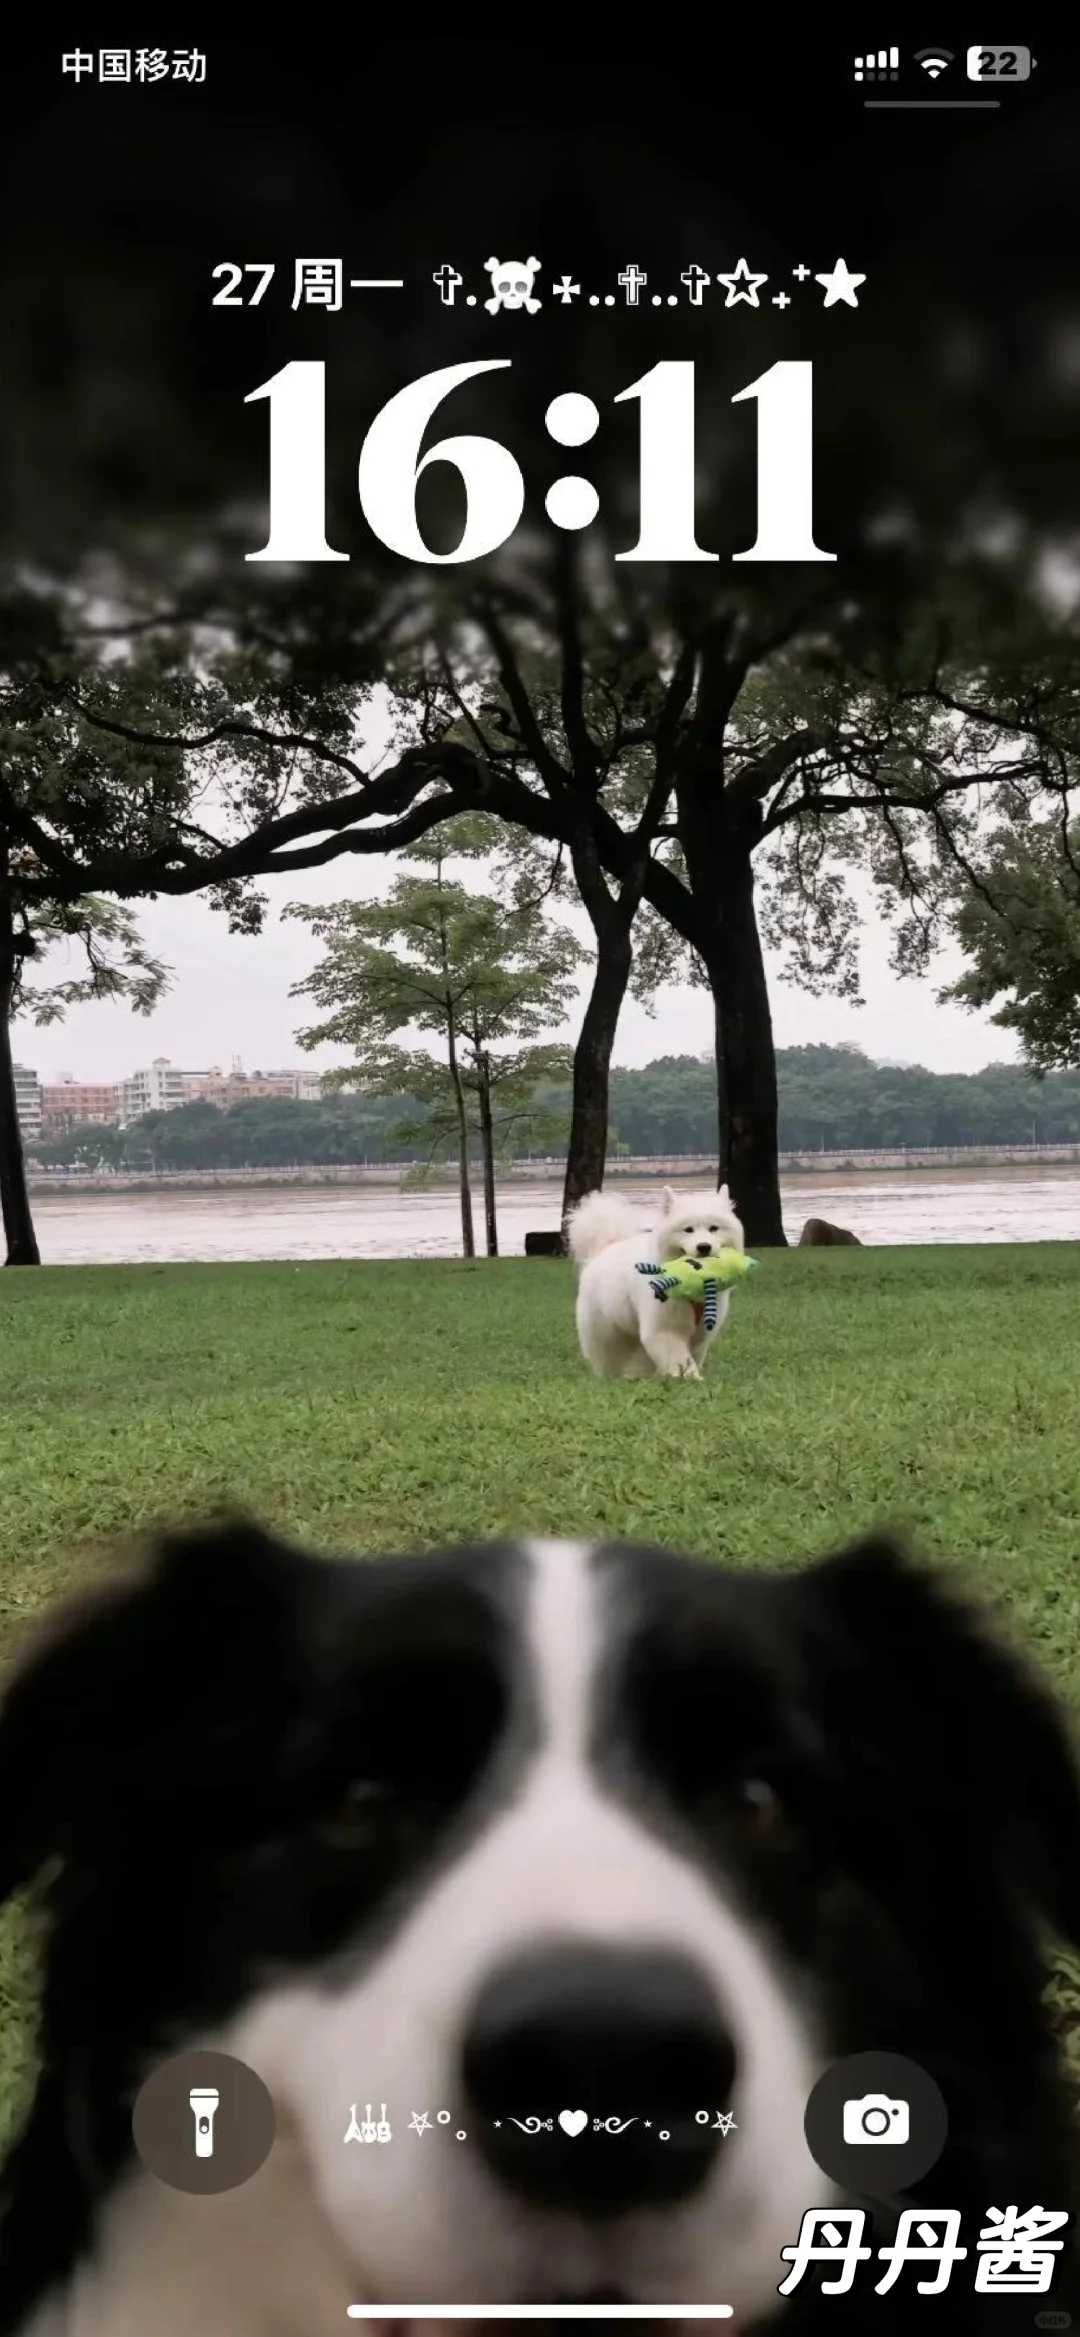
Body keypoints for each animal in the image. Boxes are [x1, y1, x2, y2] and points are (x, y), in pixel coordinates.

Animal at [570, 1177, 748, 1374]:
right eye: (688, 1230)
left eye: (714, 1228)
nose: (704, 1247)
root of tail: (604, 1248)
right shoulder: (663, 1329)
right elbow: (679, 1358)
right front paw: (690, 1377)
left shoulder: (701, 1333)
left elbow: (692, 1356)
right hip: (607, 1333)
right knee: (607, 1359)